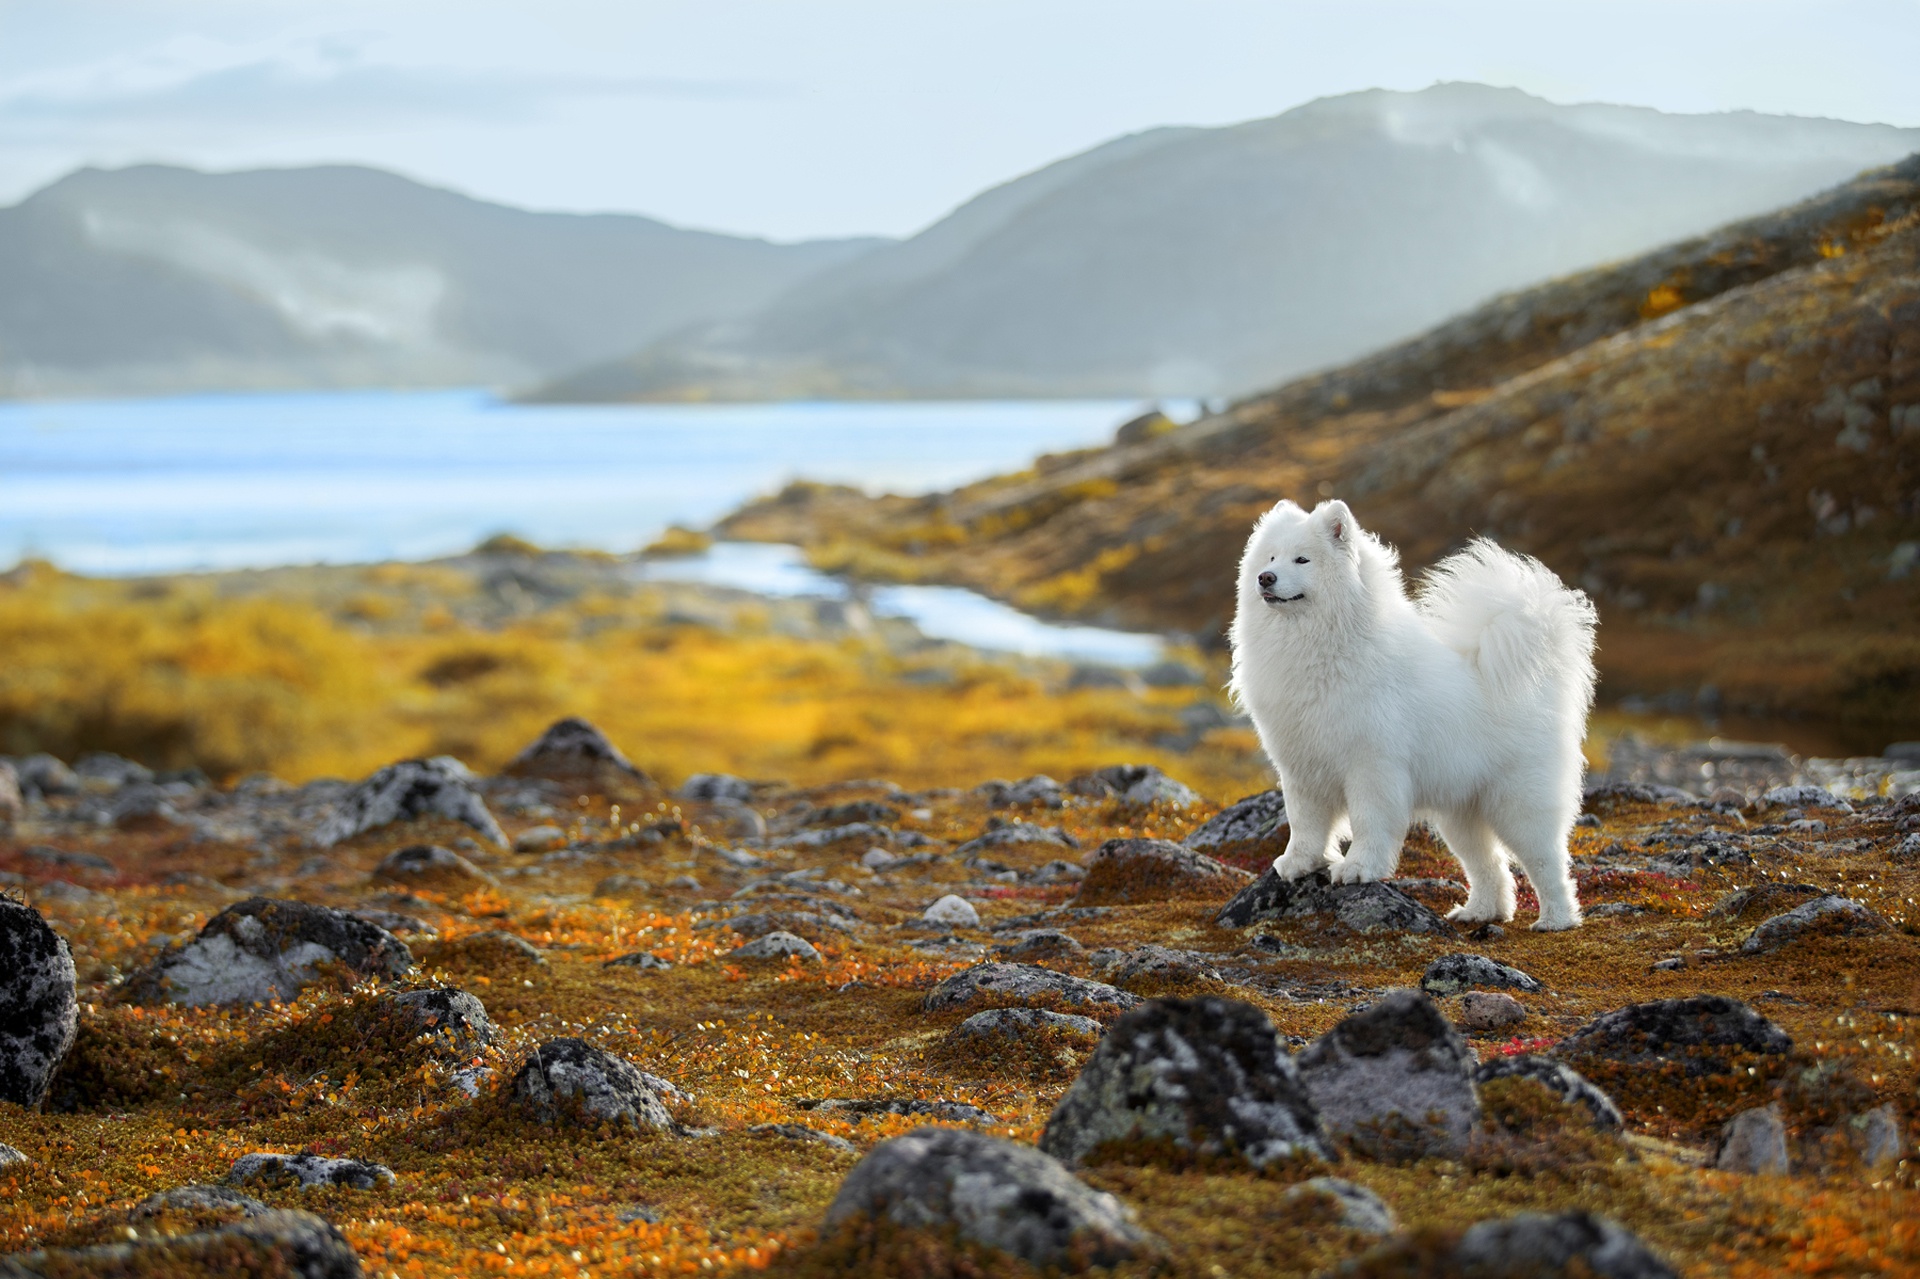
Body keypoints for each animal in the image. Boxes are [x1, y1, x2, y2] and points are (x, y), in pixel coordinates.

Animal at [1228, 499, 1605, 925]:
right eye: (1271, 557)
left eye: (1302, 559)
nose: (1265, 578)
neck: (1322, 645)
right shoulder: (1301, 767)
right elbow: (1304, 823)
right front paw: (1298, 864)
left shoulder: (1372, 766)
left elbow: (1367, 821)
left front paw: (1358, 869)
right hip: (1461, 813)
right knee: (1489, 865)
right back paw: (1479, 912)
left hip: (1519, 804)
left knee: (1547, 862)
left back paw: (1556, 920)